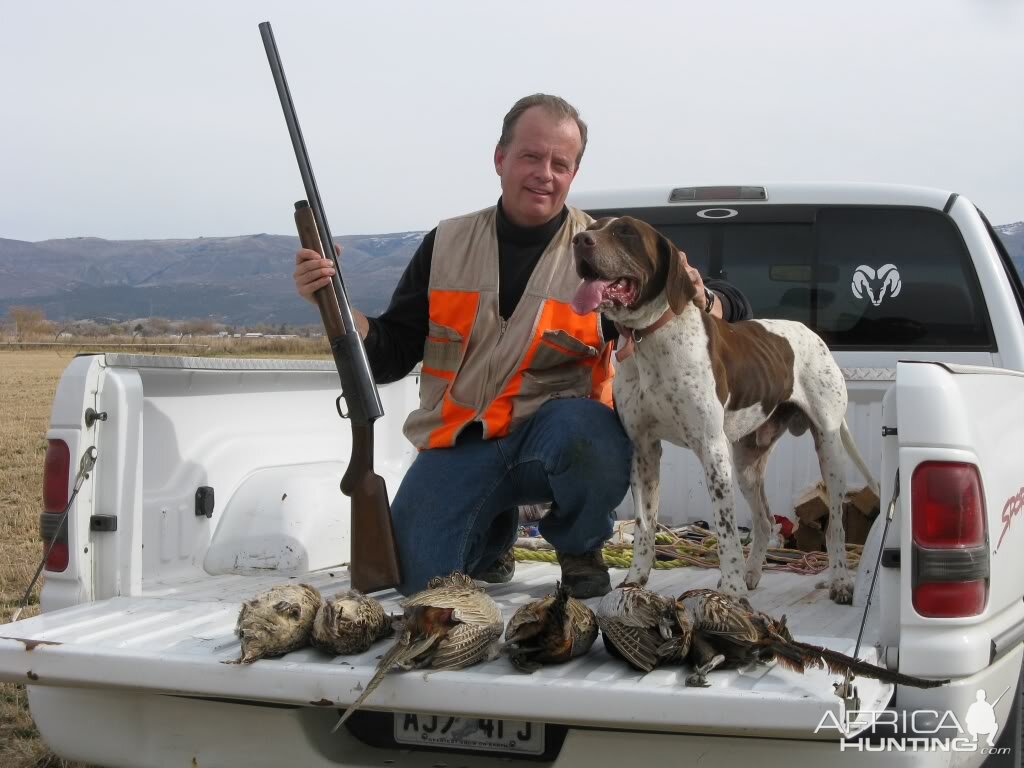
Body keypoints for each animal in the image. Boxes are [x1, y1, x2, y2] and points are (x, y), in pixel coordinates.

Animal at [573, 217, 876, 606]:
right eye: (595, 226)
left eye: (625, 232)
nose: (580, 240)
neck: (650, 339)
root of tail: (811, 333)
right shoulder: (643, 451)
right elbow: (645, 524)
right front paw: (635, 579)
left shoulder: (711, 449)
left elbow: (726, 530)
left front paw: (730, 591)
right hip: (747, 463)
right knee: (764, 521)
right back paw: (751, 574)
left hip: (829, 448)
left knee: (835, 527)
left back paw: (838, 580)